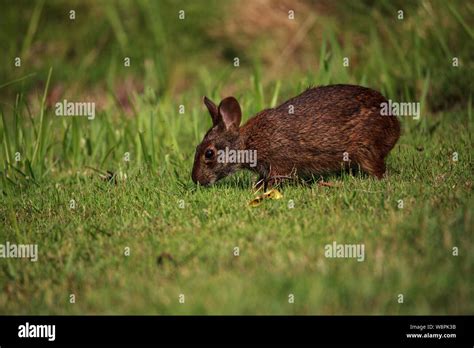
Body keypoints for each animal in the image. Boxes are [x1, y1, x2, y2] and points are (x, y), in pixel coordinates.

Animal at [192, 84, 400, 188]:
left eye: (209, 154)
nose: (196, 180)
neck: (247, 143)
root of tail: (395, 126)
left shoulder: (278, 164)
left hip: (365, 149)